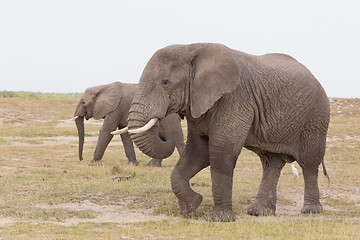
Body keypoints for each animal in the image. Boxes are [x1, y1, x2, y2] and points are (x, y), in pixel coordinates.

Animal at [113, 42, 332, 221]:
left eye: (165, 82)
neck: (191, 48)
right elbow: (198, 152)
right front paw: (191, 206)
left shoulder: (235, 98)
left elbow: (221, 150)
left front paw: (219, 219)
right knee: (270, 162)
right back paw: (259, 212)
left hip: (316, 118)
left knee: (309, 162)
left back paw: (310, 211)